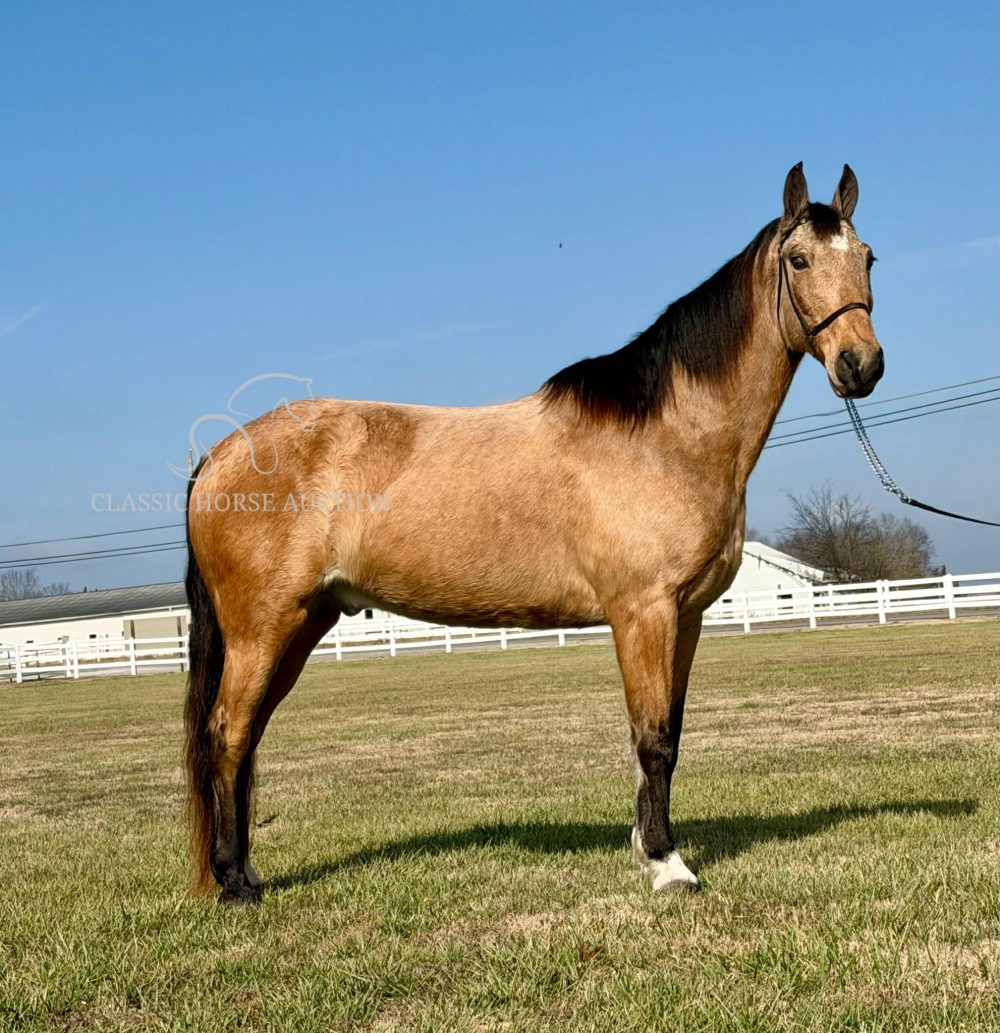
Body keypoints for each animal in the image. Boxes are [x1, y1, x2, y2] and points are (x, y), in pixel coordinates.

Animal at [184, 162, 883, 904]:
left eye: (868, 258)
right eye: (799, 259)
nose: (860, 364)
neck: (665, 436)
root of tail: (221, 454)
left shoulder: (686, 617)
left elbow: (670, 735)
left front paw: (646, 846)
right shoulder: (643, 613)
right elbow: (652, 738)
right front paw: (667, 863)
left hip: (300, 625)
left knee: (248, 737)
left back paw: (247, 869)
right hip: (264, 628)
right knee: (228, 734)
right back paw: (234, 882)